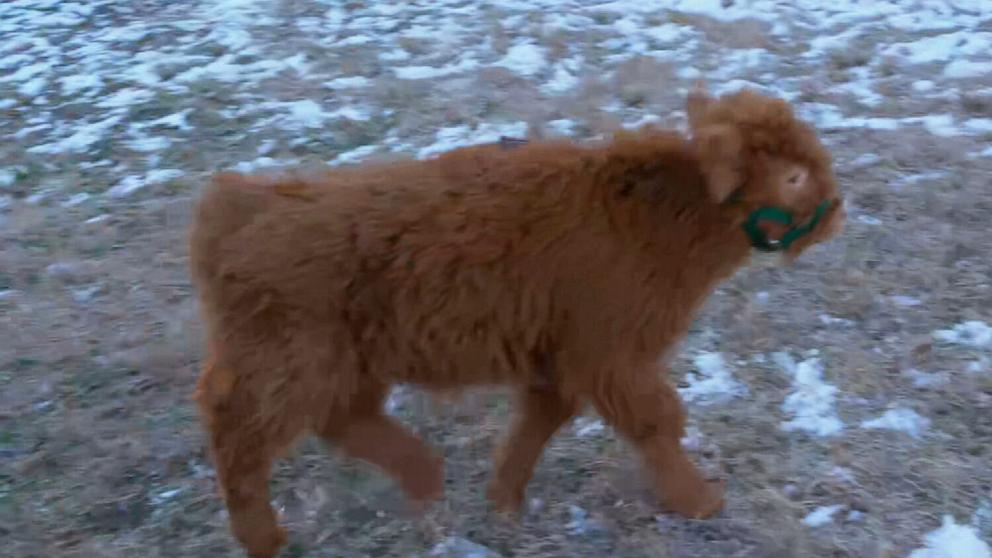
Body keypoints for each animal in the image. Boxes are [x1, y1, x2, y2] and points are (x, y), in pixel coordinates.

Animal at [188, 87, 844, 558]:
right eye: (792, 177)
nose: (837, 212)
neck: (660, 218)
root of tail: (240, 204)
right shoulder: (610, 352)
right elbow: (657, 421)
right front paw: (700, 500)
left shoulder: (560, 353)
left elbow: (540, 420)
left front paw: (504, 499)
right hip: (286, 359)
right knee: (239, 432)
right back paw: (264, 538)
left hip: (345, 359)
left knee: (343, 418)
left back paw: (424, 478)